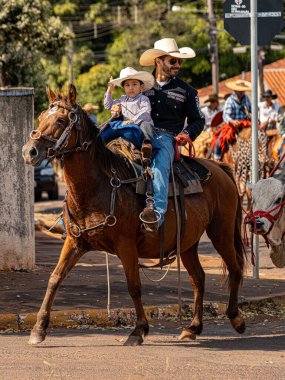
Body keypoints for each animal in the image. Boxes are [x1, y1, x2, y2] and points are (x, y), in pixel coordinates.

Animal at [21, 84, 246, 346]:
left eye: (60, 119)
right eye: (40, 117)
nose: (29, 151)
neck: (99, 185)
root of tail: (219, 168)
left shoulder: (126, 245)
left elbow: (134, 286)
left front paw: (138, 330)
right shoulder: (75, 242)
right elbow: (55, 278)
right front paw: (39, 329)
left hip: (221, 232)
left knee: (235, 268)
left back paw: (236, 318)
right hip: (188, 242)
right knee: (198, 278)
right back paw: (193, 327)